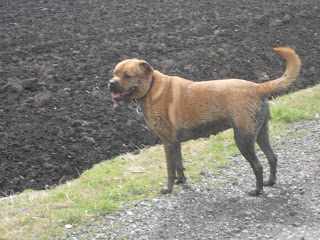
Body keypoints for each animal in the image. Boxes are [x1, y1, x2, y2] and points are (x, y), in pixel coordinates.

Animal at [109, 47, 302, 195]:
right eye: (114, 73)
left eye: (127, 75)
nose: (111, 83)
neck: (151, 88)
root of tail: (257, 88)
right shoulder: (176, 143)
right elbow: (179, 165)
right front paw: (181, 181)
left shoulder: (168, 142)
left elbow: (170, 169)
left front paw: (168, 189)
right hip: (261, 132)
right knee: (272, 157)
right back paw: (270, 182)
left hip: (243, 139)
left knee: (258, 165)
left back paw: (257, 190)